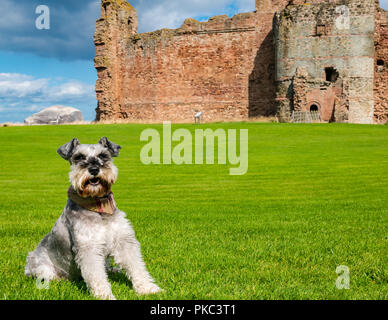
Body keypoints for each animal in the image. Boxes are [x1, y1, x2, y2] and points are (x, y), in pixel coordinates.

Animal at [24, 138, 161, 300]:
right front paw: (105, 295)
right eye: (79, 157)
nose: (94, 169)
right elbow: (96, 275)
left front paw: (147, 288)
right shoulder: (89, 247)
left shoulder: (124, 241)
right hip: (39, 265)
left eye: (103, 155)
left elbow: (136, 266)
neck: (99, 206)